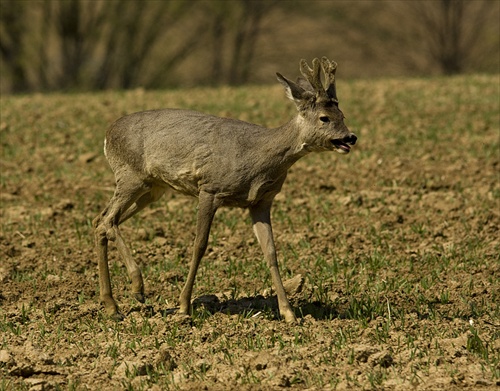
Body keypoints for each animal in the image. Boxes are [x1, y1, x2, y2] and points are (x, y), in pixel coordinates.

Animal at [91, 56, 356, 324]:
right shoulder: (210, 188)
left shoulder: (261, 202)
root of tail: (107, 134)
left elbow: (271, 252)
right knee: (107, 220)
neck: (259, 158)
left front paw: (289, 313)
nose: (351, 137)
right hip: (130, 176)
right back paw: (137, 287)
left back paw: (112, 305)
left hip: (152, 189)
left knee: (100, 221)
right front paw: (183, 306)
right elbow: (199, 245)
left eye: (342, 114)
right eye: (324, 117)